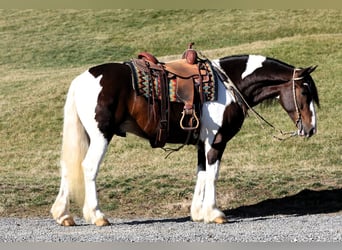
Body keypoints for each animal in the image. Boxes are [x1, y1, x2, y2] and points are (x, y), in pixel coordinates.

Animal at [50, 52, 318, 227]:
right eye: (305, 91)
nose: (311, 128)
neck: (229, 85)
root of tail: (82, 80)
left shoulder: (202, 143)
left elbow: (201, 173)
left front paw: (198, 212)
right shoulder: (216, 141)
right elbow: (213, 174)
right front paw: (214, 213)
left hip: (86, 136)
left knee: (68, 167)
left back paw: (63, 215)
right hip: (101, 135)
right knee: (88, 167)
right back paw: (97, 216)